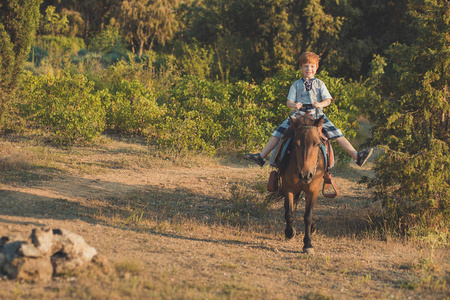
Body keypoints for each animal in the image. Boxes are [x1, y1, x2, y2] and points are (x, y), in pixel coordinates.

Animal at [282, 113, 324, 254]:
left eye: (317, 144)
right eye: (296, 143)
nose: (306, 175)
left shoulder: (313, 191)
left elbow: (308, 217)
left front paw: (308, 244)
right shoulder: (288, 188)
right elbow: (289, 213)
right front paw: (290, 232)